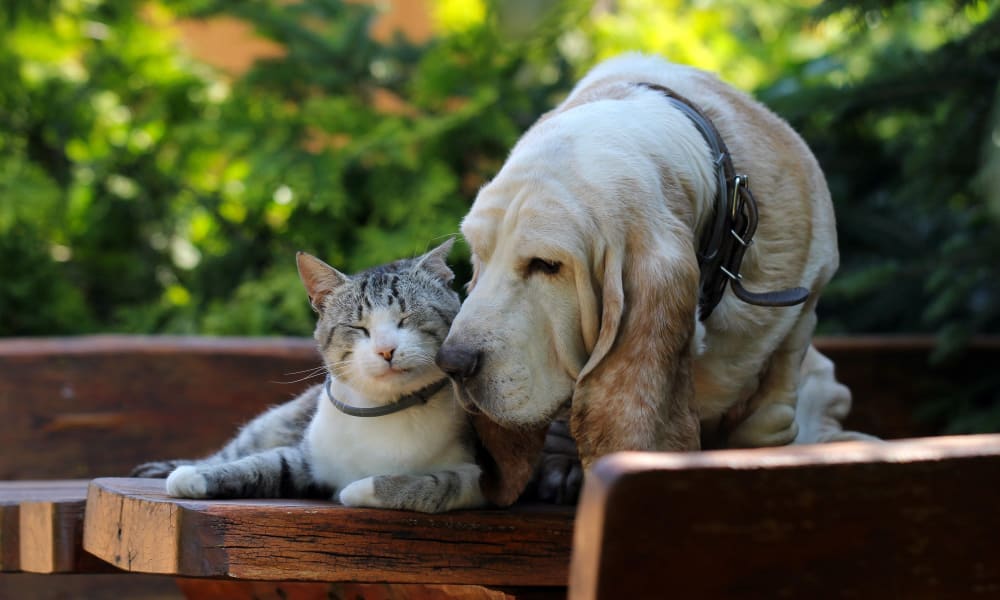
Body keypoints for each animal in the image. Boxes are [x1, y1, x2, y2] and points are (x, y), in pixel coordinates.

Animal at [133, 241, 488, 512]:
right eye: (358, 327)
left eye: (406, 318)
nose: (386, 350)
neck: (385, 409)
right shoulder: (304, 458)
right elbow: (262, 464)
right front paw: (192, 477)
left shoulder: (478, 479)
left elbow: (433, 485)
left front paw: (357, 489)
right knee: (231, 452)